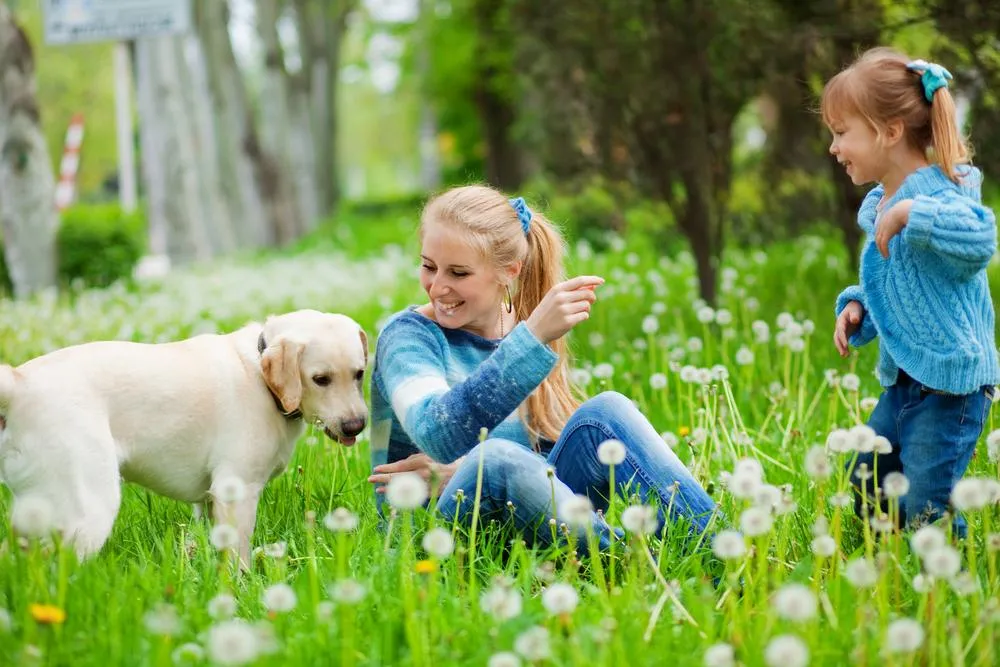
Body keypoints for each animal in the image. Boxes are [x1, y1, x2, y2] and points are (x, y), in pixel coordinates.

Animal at [0, 308, 368, 564]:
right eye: (320, 379)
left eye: (359, 373)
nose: (357, 426)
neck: (260, 375)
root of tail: (19, 382)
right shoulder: (235, 490)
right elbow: (237, 556)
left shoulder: (208, 501)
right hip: (89, 509)